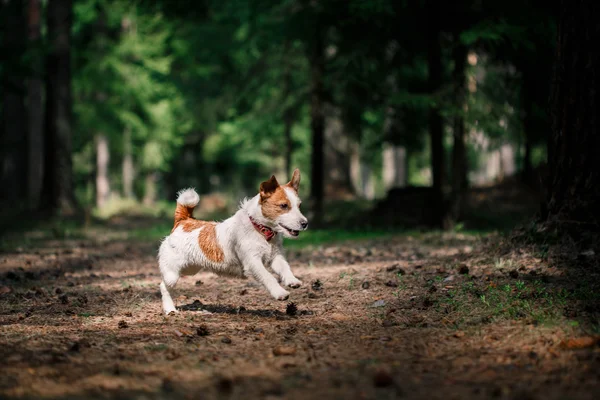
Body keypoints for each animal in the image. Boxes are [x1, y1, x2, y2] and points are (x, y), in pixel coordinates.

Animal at [158, 167, 310, 314]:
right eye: (284, 206)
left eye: (299, 205)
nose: (305, 223)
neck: (260, 230)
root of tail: (184, 221)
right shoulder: (253, 262)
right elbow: (268, 277)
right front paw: (280, 292)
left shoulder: (276, 257)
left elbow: (285, 268)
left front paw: (292, 280)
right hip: (173, 274)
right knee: (163, 285)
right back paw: (170, 309)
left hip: (190, 268)